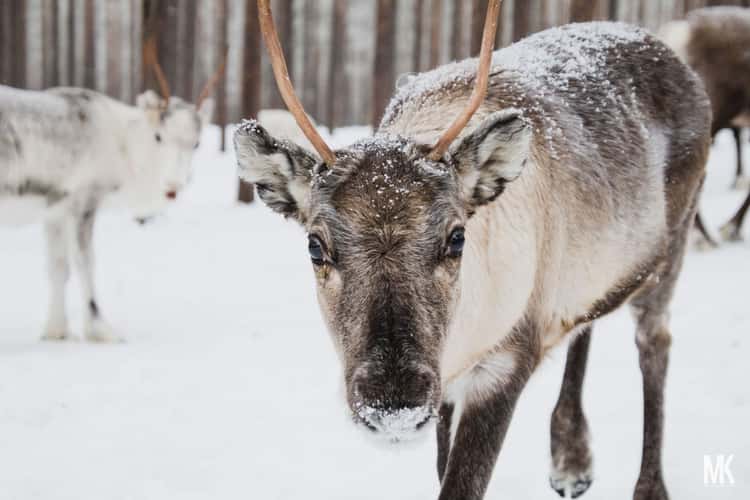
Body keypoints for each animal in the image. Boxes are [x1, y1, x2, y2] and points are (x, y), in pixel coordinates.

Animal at [0, 38, 223, 342]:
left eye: (196, 143)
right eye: (158, 136)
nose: (173, 187)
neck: (124, 145)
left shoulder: (54, 211)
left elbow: (58, 267)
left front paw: (56, 331)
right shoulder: (85, 201)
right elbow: (85, 264)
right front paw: (101, 330)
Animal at [234, 1, 711, 499]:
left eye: (456, 237)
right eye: (315, 246)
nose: (393, 405)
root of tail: (674, 58)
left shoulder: (504, 364)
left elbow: (462, 483)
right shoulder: (446, 383)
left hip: (672, 244)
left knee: (654, 342)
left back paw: (648, 484)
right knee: (586, 319)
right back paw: (570, 456)